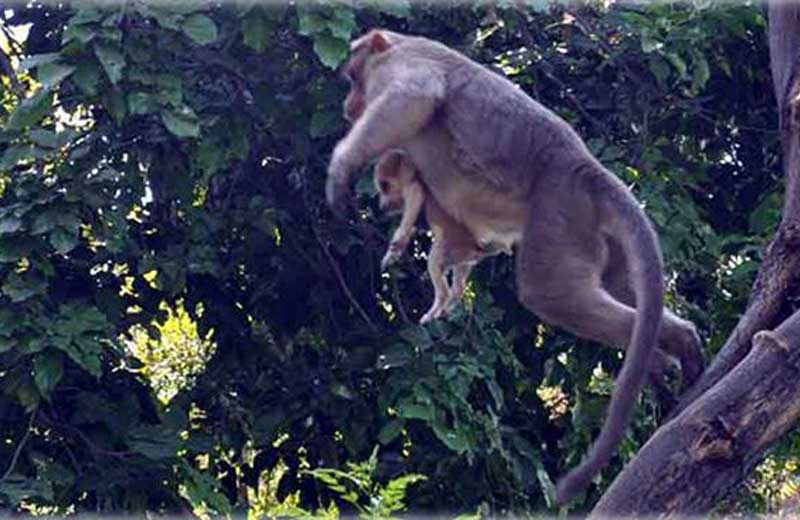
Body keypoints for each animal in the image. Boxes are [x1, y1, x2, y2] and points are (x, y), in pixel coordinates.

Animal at [374, 150, 511, 324]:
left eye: (385, 185)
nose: (381, 205)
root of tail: (478, 247)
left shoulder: (413, 190)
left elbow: (408, 220)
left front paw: (392, 254)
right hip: (464, 259)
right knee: (459, 286)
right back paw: (446, 309)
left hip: (448, 251)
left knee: (439, 276)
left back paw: (432, 313)